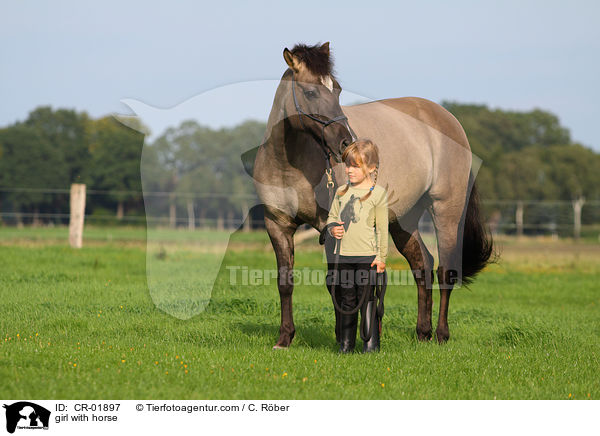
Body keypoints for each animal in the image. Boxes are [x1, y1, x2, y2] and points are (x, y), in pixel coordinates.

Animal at [250, 42, 492, 350]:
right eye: (311, 92)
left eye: (337, 89)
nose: (346, 143)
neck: (288, 164)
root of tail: (450, 121)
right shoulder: (277, 225)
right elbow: (285, 282)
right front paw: (284, 338)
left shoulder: (332, 227)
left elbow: (335, 281)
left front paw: (342, 337)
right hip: (403, 219)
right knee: (422, 265)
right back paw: (422, 333)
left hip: (446, 209)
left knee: (445, 270)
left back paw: (441, 335)